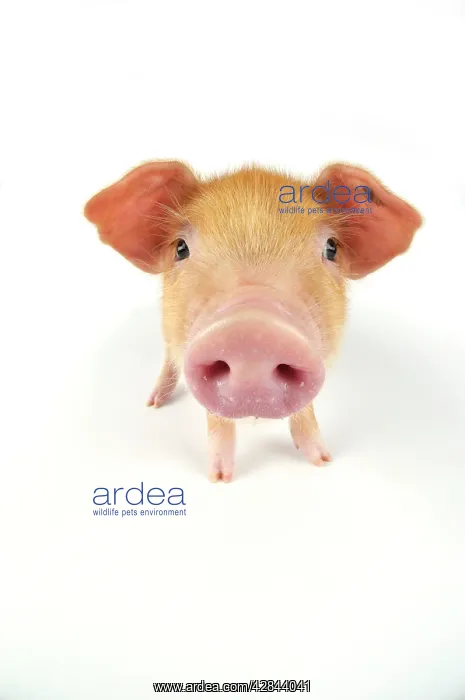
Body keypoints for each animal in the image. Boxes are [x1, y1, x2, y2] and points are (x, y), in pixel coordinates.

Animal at [84, 160, 422, 482]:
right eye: (181, 248)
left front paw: (323, 461)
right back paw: (154, 403)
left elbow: (306, 414)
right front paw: (220, 479)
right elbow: (218, 421)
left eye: (331, 248)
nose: (251, 332)